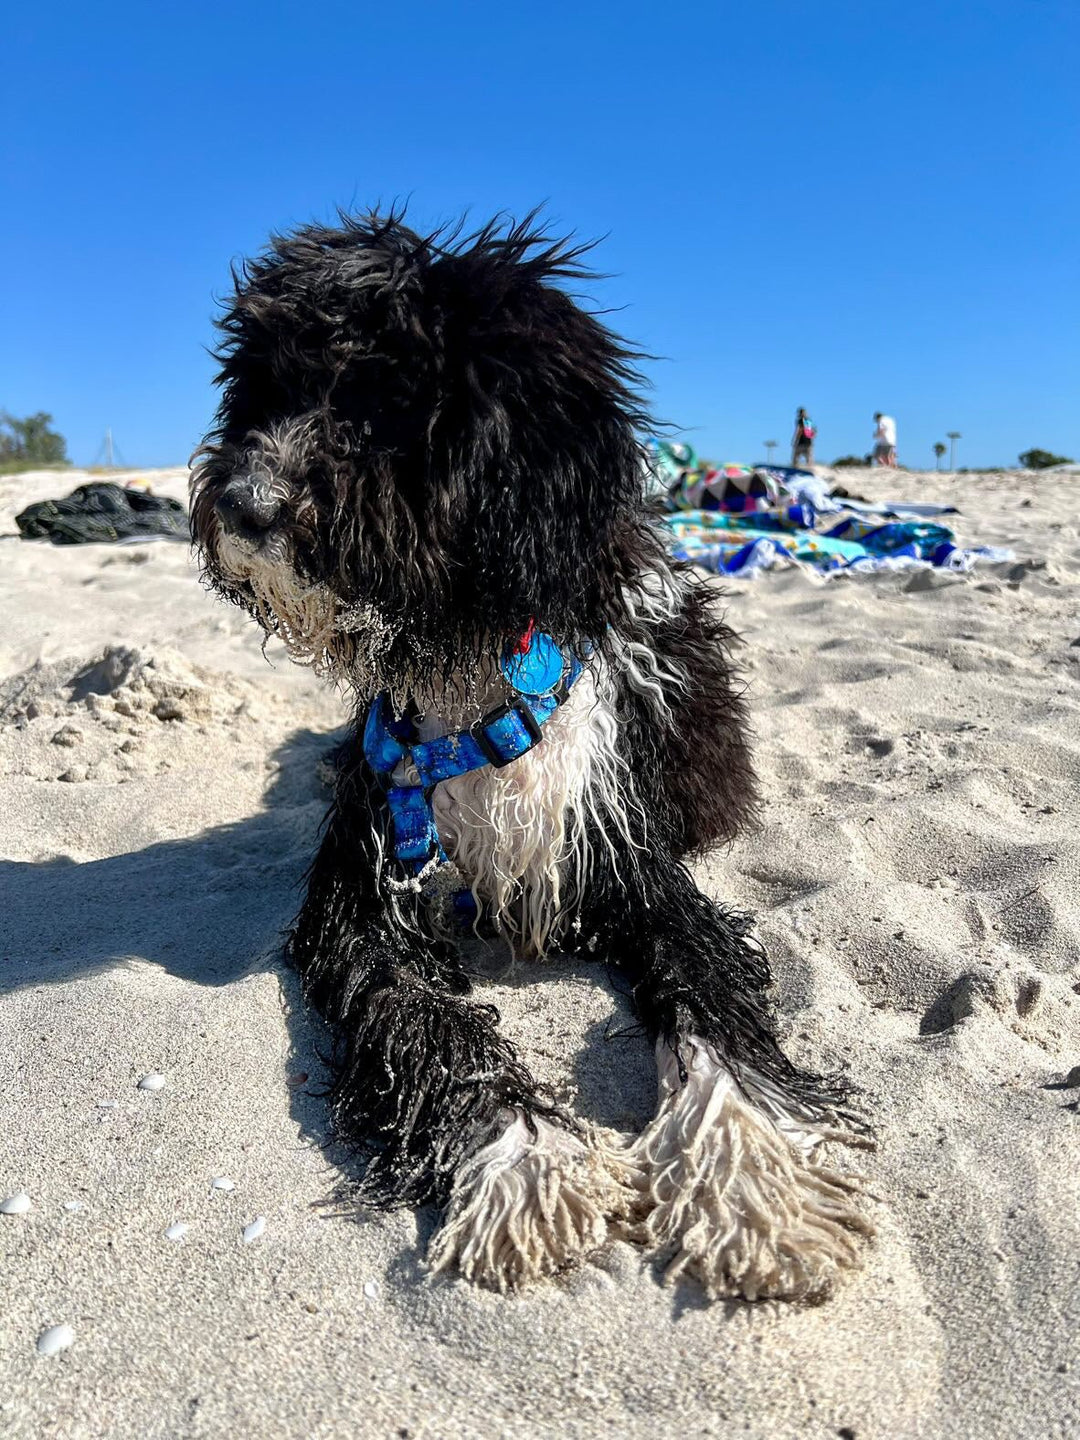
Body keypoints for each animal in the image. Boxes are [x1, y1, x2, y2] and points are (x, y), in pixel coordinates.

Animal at [190, 213, 875, 1307]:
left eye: (389, 398)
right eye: (267, 384)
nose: (247, 502)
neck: (469, 686)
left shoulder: (634, 866)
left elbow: (713, 1002)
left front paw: (756, 1179)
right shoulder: (369, 902)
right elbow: (433, 1029)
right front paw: (524, 1167)